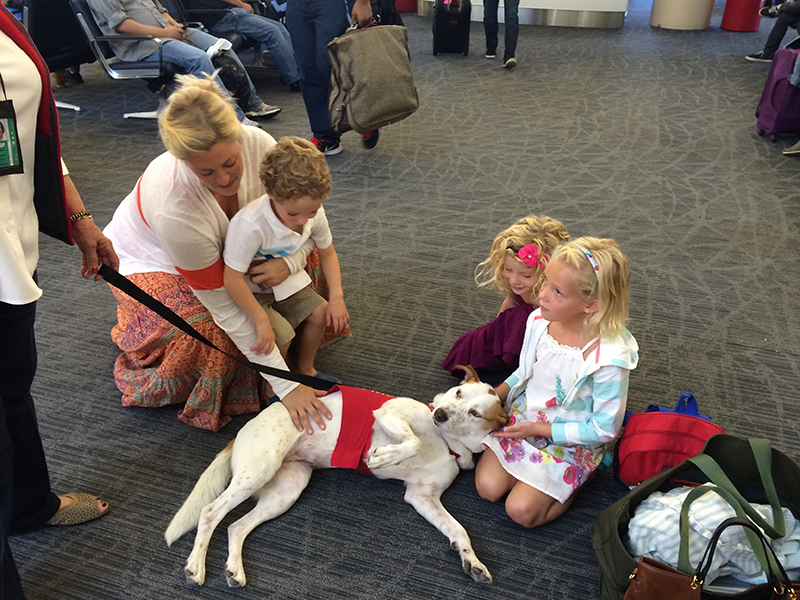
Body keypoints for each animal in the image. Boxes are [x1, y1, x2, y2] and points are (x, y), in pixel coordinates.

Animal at [166, 366, 510, 584]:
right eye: (458, 392)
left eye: (476, 413)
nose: (440, 414)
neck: (445, 441)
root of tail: (241, 431)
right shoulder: (387, 413)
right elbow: (410, 441)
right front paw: (382, 457)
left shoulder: (422, 496)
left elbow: (459, 531)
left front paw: (472, 561)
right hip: (259, 470)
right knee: (210, 512)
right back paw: (195, 566)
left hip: (287, 489)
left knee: (235, 527)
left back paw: (234, 570)